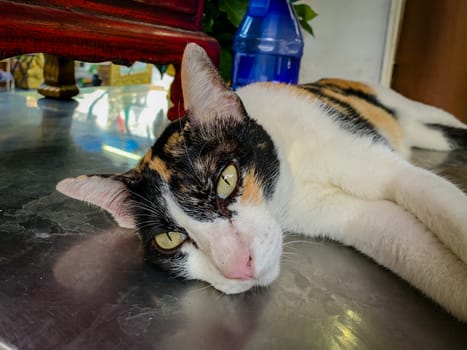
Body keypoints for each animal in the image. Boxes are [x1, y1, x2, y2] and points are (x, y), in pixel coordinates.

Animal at [57, 43, 467, 320]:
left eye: (226, 180)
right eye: (170, 239)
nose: (238, 266)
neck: (296, 174)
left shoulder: (387, 169)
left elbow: (444, 207)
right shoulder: (359, 219)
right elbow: (419, 253)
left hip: (407, 107)